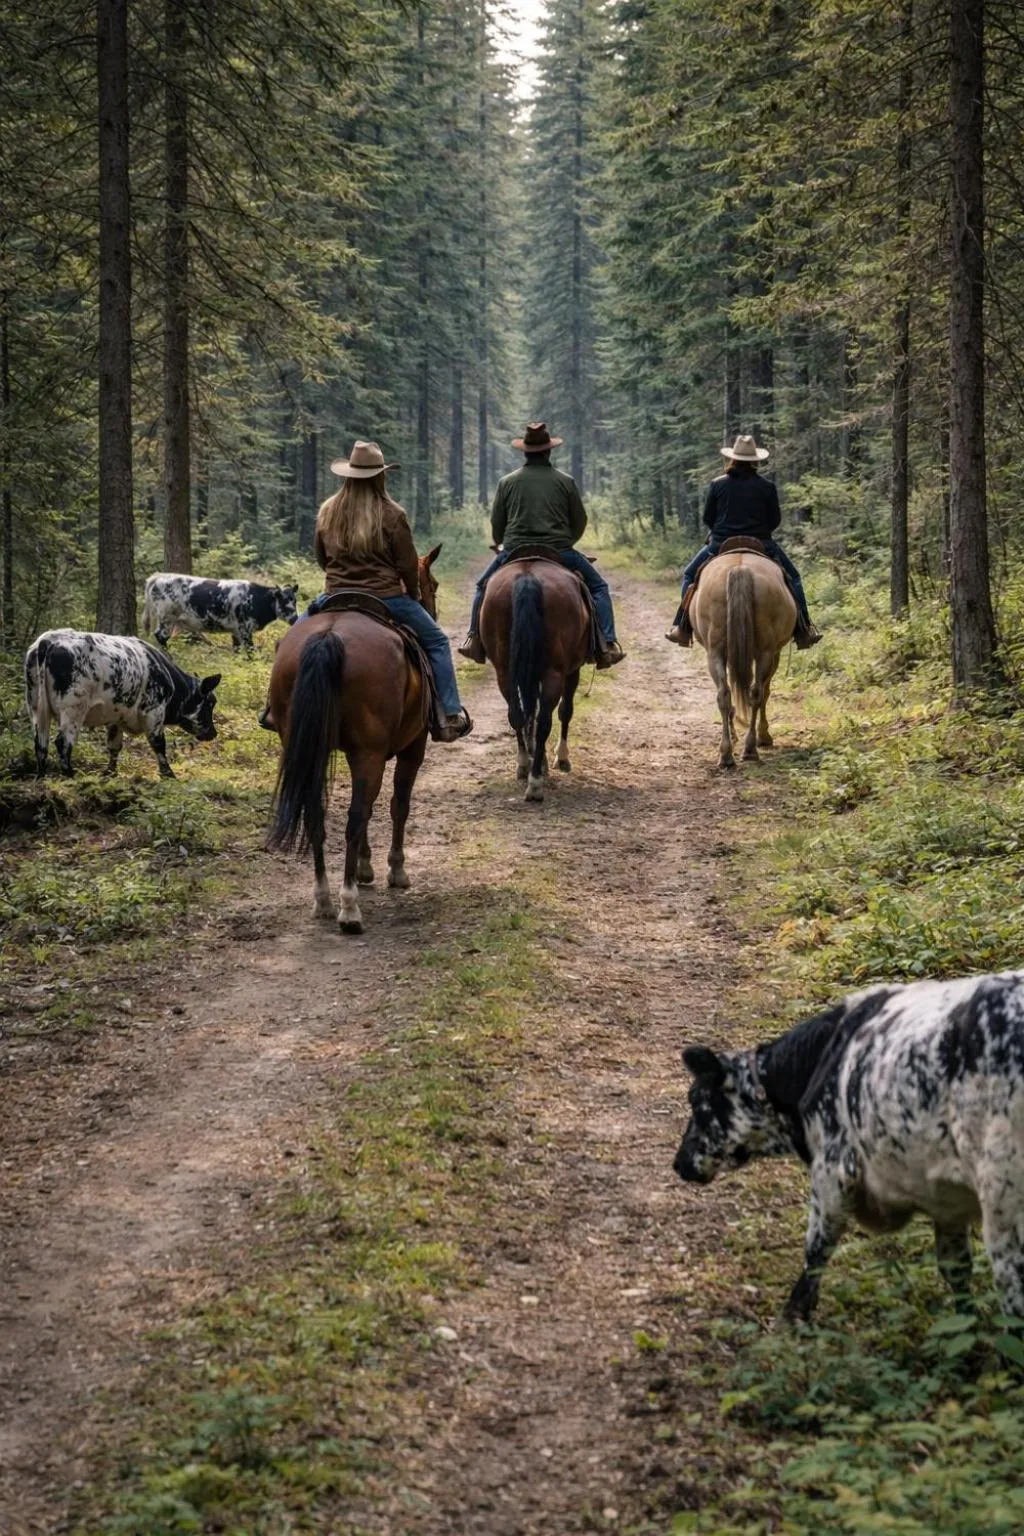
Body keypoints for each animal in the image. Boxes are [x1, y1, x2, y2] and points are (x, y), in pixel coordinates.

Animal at [265, 546, 442, 934]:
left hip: (309, 747)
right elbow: (396, 805)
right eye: (433, 584)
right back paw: (349, 908)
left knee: (316, 814)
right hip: (372, 753)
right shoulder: (412, 748)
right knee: (355, 816)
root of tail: (329, 636)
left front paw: (365, 866)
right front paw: (394, 869)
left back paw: (323, 899)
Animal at [478, 557, 590, 802]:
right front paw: (561, 757)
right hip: (554, 671)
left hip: (505, 670)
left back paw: (524, 765)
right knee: (545, 721)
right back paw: (535, 783)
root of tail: (527, 577)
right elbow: (565, 711)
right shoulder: (572, 670)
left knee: (516, 715)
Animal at [690, 551, 796, 769]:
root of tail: (740, 568)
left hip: (716, 652)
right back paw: (750, 747)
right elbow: (766, 691)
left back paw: (727, 754)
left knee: (726, 694)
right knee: (757, 693)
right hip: (765, 652)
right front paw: (763, 735)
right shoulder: (775, 653)